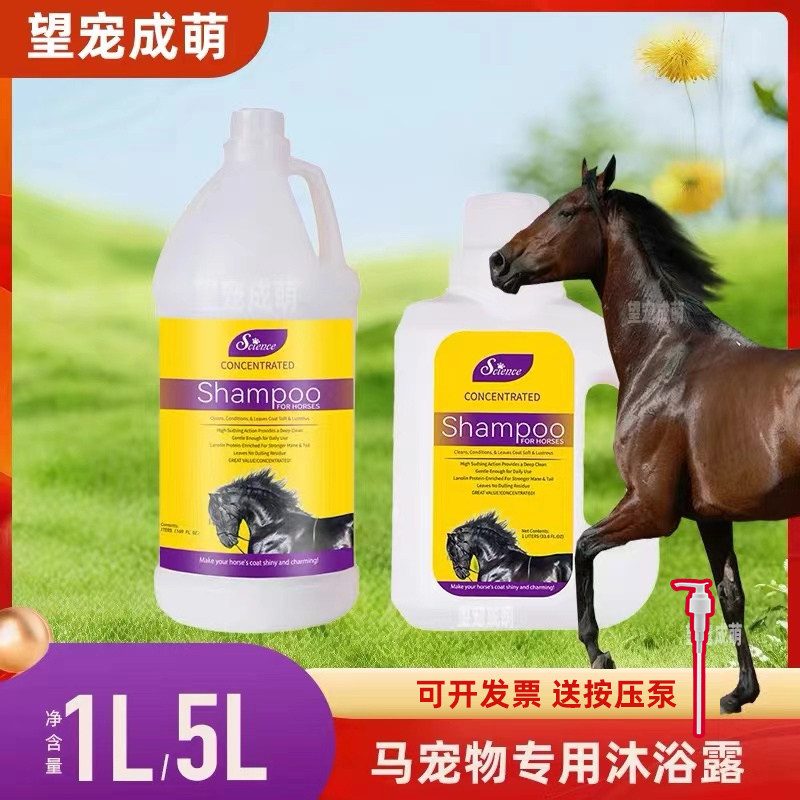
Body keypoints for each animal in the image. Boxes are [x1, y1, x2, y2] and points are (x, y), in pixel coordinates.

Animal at [489, 156, 800, 714]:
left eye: (566, 211)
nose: (497, 262)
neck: (665, 358)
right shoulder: (711, 517)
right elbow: (732, 596)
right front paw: (739, 694)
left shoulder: (651, 508)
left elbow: (582, 547)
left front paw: (598, 653)